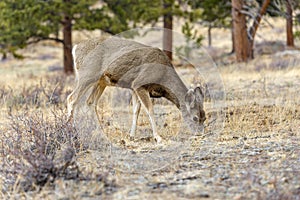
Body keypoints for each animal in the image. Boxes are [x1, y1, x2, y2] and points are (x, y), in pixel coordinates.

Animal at [66, 36, 205, 143]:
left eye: (204, 118)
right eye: (195, 118)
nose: (200, 134)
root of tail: (76, 48)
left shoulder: (133, 87)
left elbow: (136, 111)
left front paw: (131, 136)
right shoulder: (139, 84)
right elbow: (149, 110)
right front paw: (158, 137)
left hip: (101, 81)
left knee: (90, 102)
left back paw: (102, 135)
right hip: (87, 74)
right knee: (71, 98)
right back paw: (71, 132)